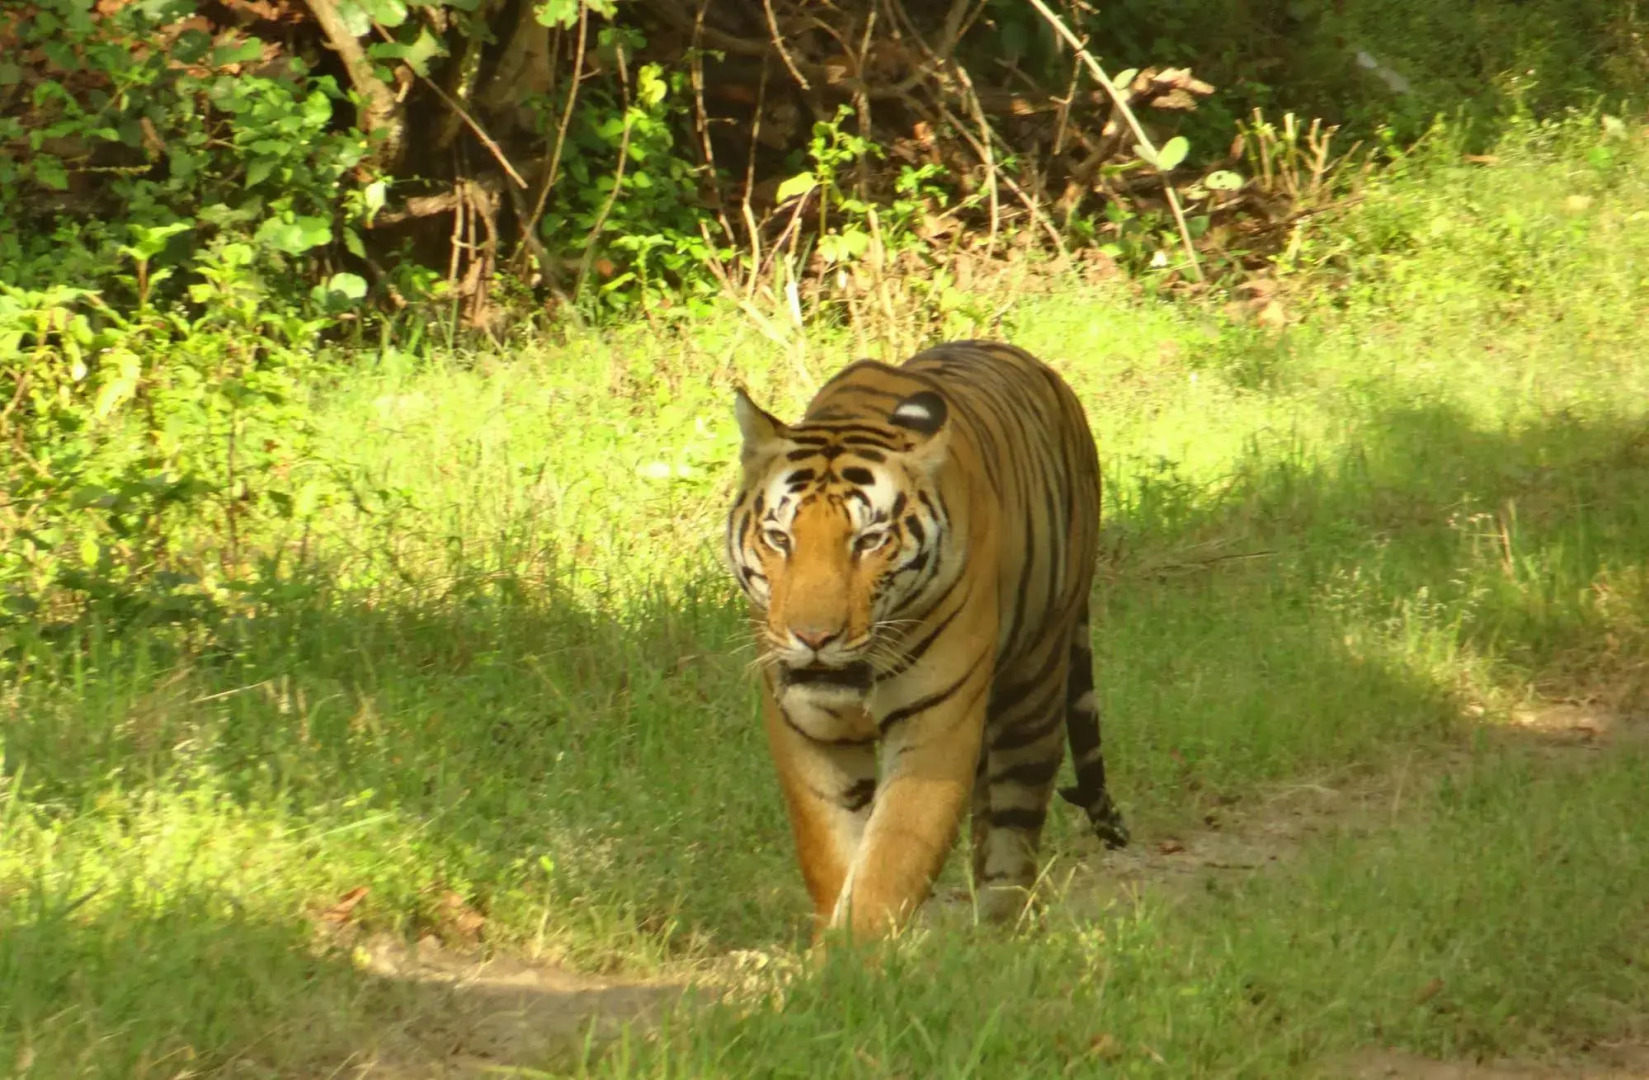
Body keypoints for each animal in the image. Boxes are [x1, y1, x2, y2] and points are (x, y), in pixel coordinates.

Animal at [724, 339, 1129, 940]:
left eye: (869, 541)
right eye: (779, 538)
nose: (814, 636)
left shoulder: (936, 725)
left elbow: (892, 858)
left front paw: (854, 956)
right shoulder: (806, 728)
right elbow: (831, 855)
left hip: (1033, 684)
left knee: (1012, 825)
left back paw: (995, 941)